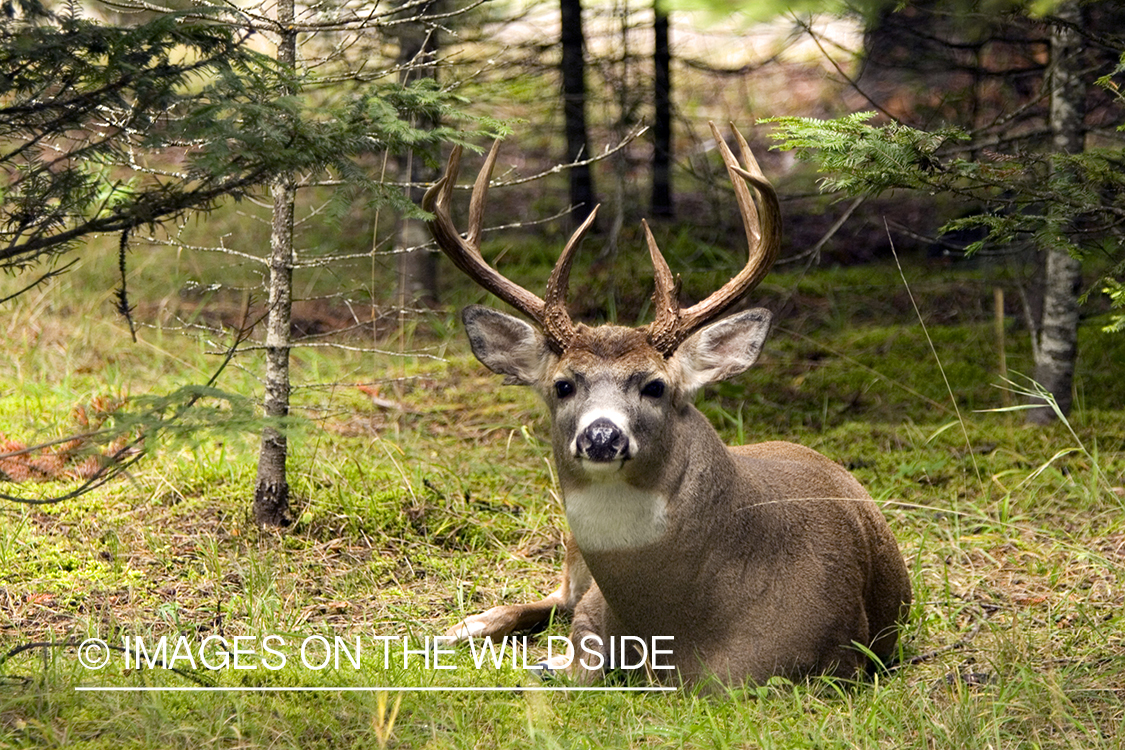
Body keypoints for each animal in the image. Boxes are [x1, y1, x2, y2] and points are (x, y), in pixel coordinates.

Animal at [425, 124, 909, 692]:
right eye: (563, 385)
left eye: (655, 386)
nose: (602, 436)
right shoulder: (594, 614)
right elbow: (580, 655)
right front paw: (541, 660)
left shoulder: (841, 655)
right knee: (555, 596)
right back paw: (463, 627)